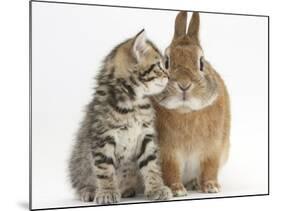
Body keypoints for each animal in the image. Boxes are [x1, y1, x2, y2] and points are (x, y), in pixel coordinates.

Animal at [69, 29, 172, 204]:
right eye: (158, 66)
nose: (169, 76)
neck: (133, 102)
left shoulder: (146, 135)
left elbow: (151, 165)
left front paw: (157, 188)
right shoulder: (103, 136)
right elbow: (104, 167)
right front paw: (107, 192)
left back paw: (126, 190)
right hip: (78, 160)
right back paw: (88, 191)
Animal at [151, 11, 230, 196]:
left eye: (201, 62)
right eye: (166, 62)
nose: (184, 84)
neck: (186, 111)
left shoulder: (212, 149)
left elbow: (209, 168)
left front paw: (211, 187)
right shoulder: (168, 153)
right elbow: (170, 170)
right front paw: (177, 190)